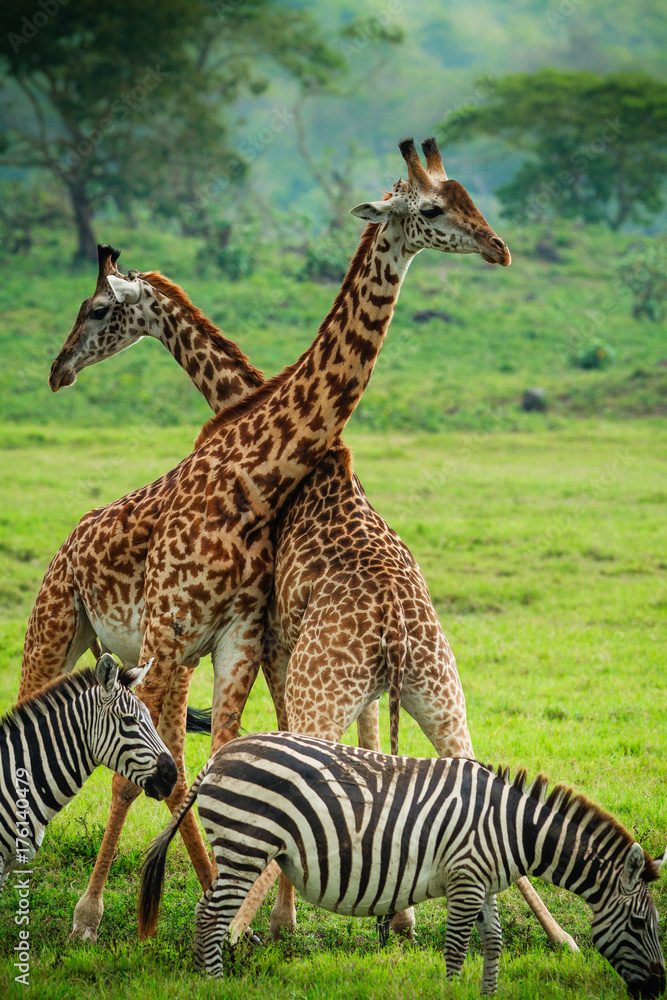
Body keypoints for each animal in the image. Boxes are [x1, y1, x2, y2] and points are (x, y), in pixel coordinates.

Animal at [46, 139, 574, 951]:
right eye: (435, 206)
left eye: (97, 309)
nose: (58, 369)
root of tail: (395, 635)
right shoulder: (238, 639)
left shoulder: (255, 638)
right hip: (433, 691)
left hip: (331, 676)